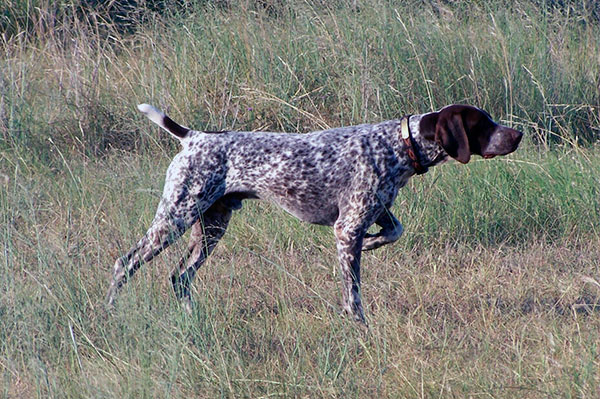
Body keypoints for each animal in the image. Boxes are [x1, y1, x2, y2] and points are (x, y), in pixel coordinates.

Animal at [106, 101, 520, 324]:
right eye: (483, 124)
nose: (516, 135)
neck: (400, 145)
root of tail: (193, 137)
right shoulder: (347, 228)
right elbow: (353, 294)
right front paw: (359, 326)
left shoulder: (374, 213)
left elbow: (395, 230)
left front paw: (374, 244)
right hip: (175, 218)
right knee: (124, 263)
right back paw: (109, 312)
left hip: (210, 227)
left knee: (180, 277)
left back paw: (191, 317)